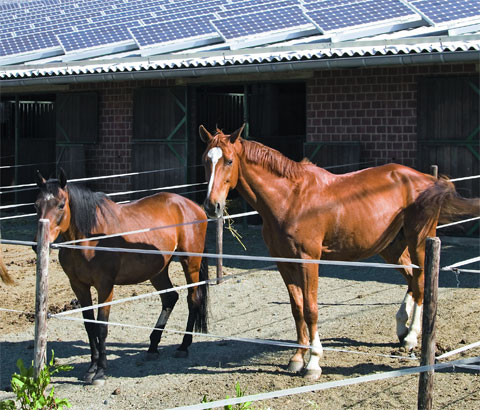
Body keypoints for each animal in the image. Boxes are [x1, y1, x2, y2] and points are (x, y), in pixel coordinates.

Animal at [34, 169, 211, 384]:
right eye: (36, 205)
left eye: (61, 205)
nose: (38, 243)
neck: (90, 240)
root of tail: (194, 207)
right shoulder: (79, 287)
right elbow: (89, 326)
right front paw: (91, 368)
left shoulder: (105, 287)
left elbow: (102, 327)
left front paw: (101, 371)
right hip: (158, 271)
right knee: (170, 298)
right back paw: (153, 347)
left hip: (190, 264)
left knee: (193, 299)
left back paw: (184, 345)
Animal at [200, 123, 480, 380]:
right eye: (206, 160)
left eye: (229, 160)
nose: (212, 207)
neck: (290, 198)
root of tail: (427, 180)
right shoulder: (284, 263)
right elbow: (296, 309)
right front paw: (297, 359)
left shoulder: (308, 260)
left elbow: (310, 309)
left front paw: (313, 363)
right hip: (391, 247)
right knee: (412, 278)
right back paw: (402, 328)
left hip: (419, 240)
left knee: (421, 281)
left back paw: (411, 336)